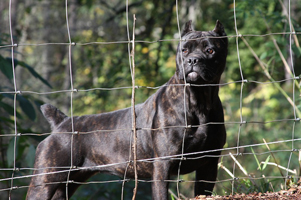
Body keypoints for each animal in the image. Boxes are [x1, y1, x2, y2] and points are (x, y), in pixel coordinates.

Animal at [26, 20, 227, 200]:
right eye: (184, 50)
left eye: (210, 50)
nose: (193, 59)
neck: (199, 100)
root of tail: (62, 122)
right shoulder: (163, 166)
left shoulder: (209, 164)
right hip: (45, 181)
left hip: (69, 183)